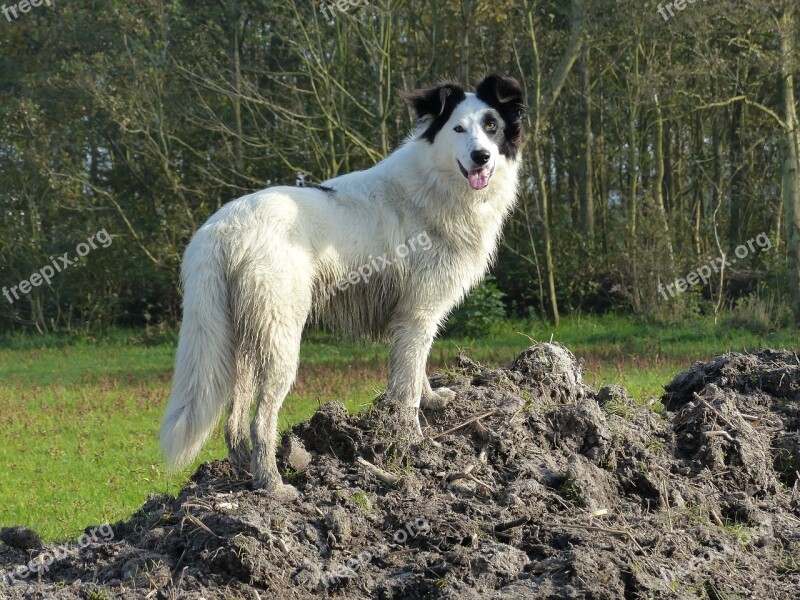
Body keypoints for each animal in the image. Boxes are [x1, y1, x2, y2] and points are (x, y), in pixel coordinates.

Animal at [160, 75, 528, 496]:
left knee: (235, 419)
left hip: (242, 340)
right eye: (458, 129)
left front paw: (434, 401)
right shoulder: (417, 314)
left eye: (491, 126)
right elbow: (407, 388)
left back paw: (244, 471)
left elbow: (418, 371)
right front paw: (415, 444)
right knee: (261, 420)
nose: (482, 157)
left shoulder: (416, 317)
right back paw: (273, 485)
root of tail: (222, 227)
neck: (437, 180)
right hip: (281, 340)